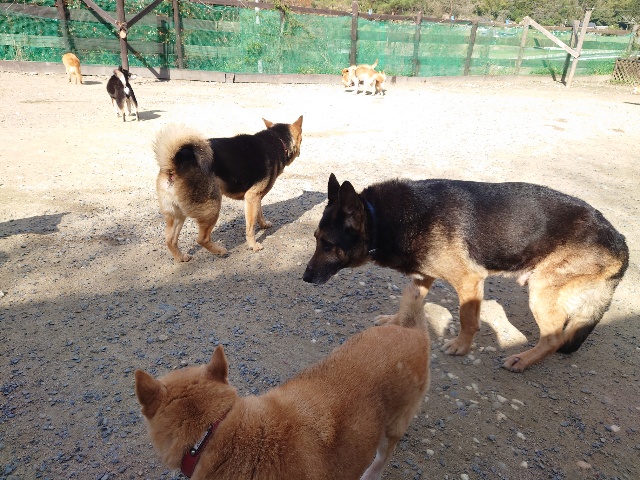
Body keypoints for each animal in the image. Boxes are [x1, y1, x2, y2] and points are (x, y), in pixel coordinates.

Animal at [153, 116, 303, 261]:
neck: (277, 140)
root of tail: (174, 164)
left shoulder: (256, 198)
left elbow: (259, 214)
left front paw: (264, 225)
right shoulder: (252, 196)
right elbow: (250, 226)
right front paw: (253, 245)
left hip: (177, 214)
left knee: (170, 240)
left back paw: (181, 258)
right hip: (212, 208)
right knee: (201, 239)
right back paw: (220, 251)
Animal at [303, 174, 628, 372]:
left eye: (328, 244)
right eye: (316, 238)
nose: (305, 278)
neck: (380, 218)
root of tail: (620, 240)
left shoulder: (469, 282)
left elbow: (467, 320)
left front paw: (460, 346)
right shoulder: (421, 277)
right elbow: (408, 302)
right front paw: (395, 321)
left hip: (540, 292)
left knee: (554, 338)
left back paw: (523, 360)